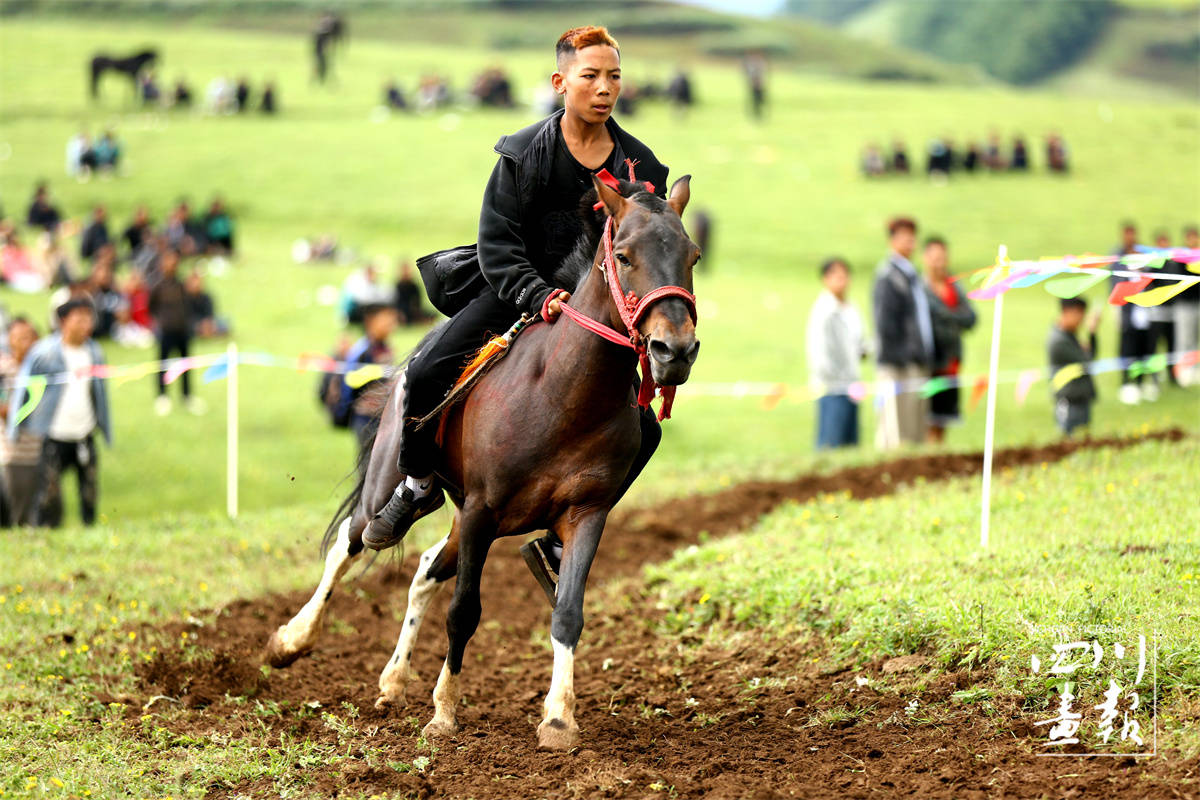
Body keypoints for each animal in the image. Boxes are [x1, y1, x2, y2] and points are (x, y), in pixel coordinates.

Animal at [267, 170, 700, 753]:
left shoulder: (585, 514)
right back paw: (293, 638)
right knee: (350, 544)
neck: (563, 396)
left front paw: (558, 719)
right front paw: (444, 713)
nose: (674, 351)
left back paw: (393, 679)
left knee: (425, 569)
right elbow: (464, 611)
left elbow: (567, 612)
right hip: (391, 487)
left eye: (692, 255)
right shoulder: (480, 512)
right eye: (624, 256)